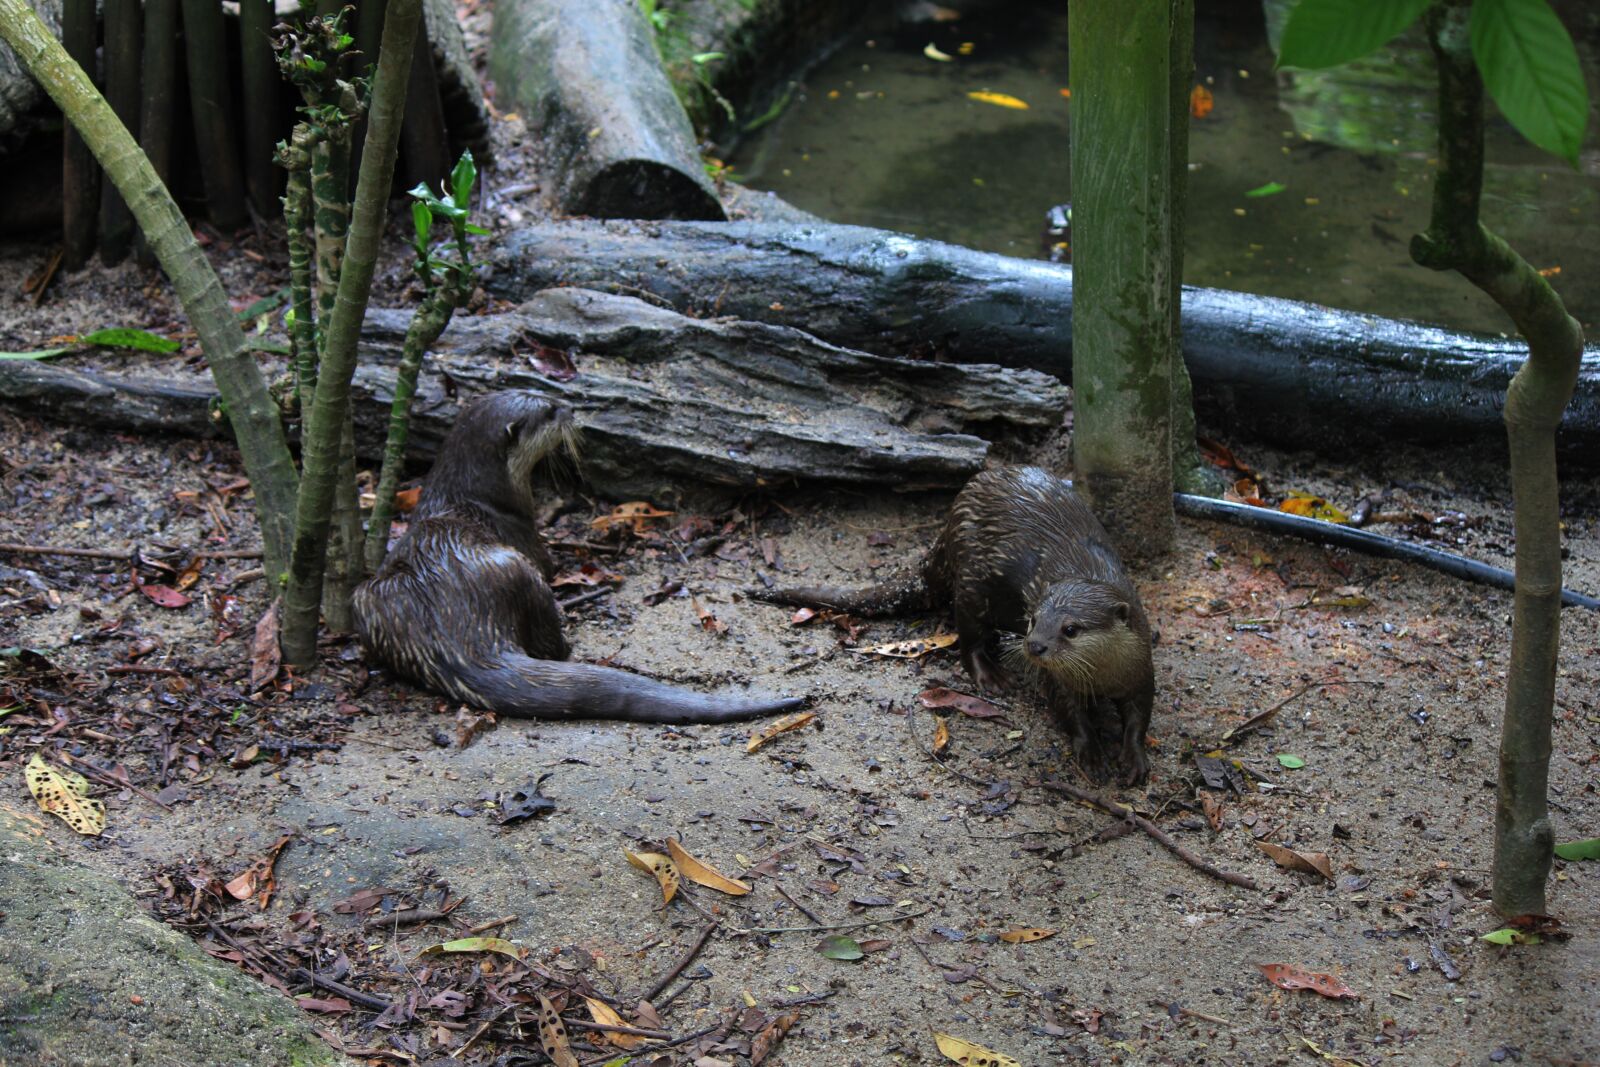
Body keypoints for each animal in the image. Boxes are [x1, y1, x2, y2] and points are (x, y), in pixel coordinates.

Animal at [353, 392, 804, 724]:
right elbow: (552, 564)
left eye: (546, 396)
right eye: (549, 411)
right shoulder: (523, 532)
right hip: (516, 570)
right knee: (550, 639)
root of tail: (459, 643)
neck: (469, 493)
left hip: (367, 600)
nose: (571, 406)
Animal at [755, 466, 1153, 783]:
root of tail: (950, 522)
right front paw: (1093, 754)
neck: (1101, 677)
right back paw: (990, 675)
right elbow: (1070, 712)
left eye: (1070, 629)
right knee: (968, 631)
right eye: (1034, 620)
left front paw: (1134, 758)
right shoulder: (1058, 680)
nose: (1035, 645)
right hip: (973, 581)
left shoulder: (1140, 664)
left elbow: (1140, 713)